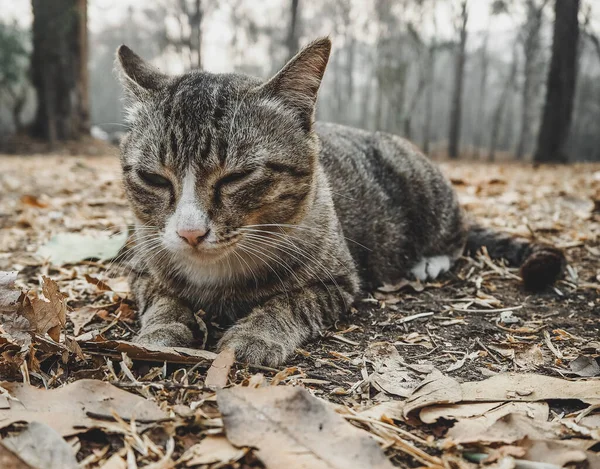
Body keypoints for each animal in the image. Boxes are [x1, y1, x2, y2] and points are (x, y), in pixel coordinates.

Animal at [115, 38, 564, 366]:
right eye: (153, 178)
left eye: (238, 176)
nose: (190, 232)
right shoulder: (141, 266)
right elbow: (162, 299)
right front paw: (160, 331)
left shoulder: (338, 280)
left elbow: (290, 303)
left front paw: (255, 333)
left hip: (423, 186)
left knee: (459, 234)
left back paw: (430, 260)